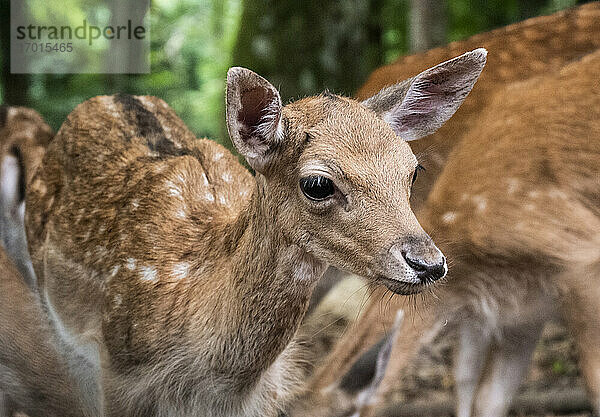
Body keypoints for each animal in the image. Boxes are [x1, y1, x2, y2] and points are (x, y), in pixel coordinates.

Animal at [24, 52, 488, 416]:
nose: (427, 263)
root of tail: (113, 96)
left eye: (413, 170)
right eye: (317, 183)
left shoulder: (266, 392)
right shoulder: (117, 374)